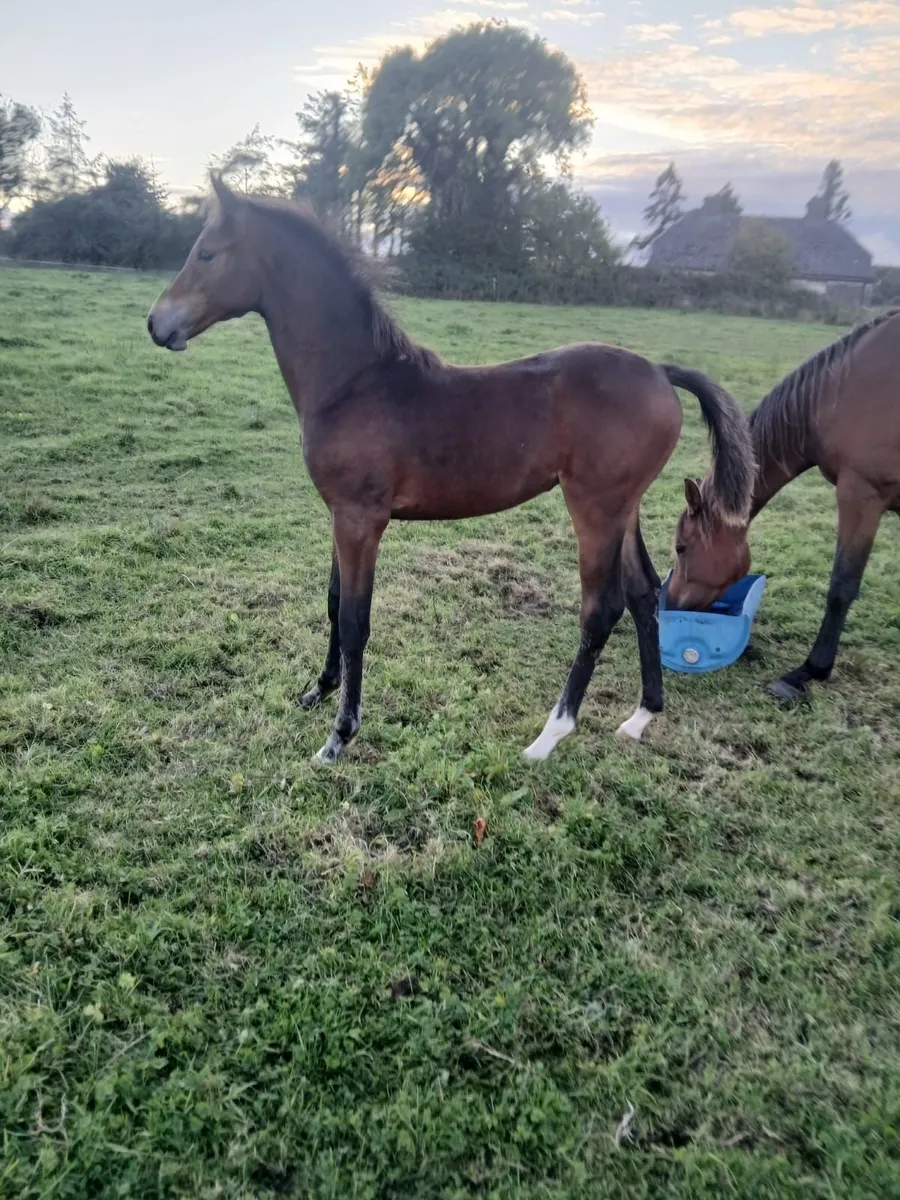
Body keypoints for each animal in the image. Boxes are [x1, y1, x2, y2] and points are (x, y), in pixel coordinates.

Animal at [147, 175, 754, 764]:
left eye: (206, 253)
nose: (156, 324)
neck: (355, 382)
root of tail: (659, 370)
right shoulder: (339, 515)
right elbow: (334, 602)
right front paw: (317, 690)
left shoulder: (361, 520)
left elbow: (356, 620)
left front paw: (340, 735)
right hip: (623, 509)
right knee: (644, 593)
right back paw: (641, 715)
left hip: (595, 509)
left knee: (600, 610)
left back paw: (550, 736)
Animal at [668, 308, 900, 701]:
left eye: (682, 547)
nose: (668, 603)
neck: (837, 394)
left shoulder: (861, 493)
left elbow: (842, 585)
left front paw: (808, 671)